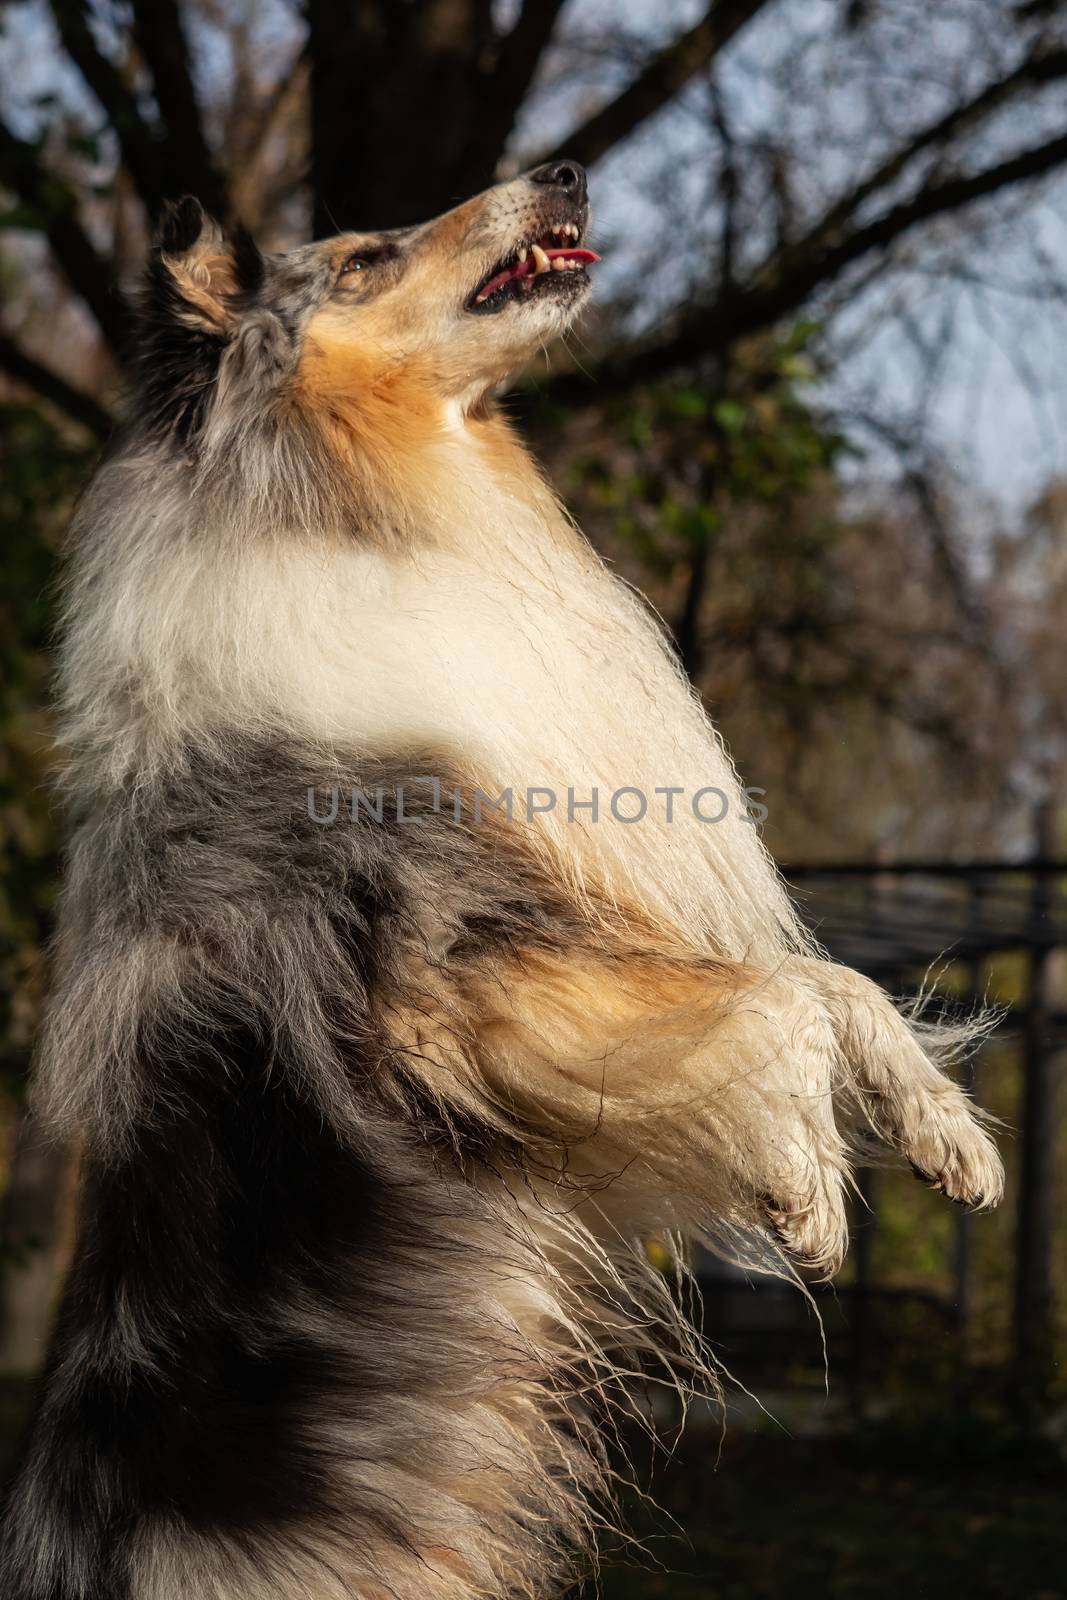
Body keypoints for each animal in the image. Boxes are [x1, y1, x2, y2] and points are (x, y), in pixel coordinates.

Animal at [0, 162, 1004, 1600]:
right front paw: (806, 1181)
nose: (565, 172)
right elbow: (777, 1005)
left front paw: (941, 1131)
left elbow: (827, 982)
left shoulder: (573, 924)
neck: (389, 507)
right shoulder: (455, 979)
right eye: (362, 258)